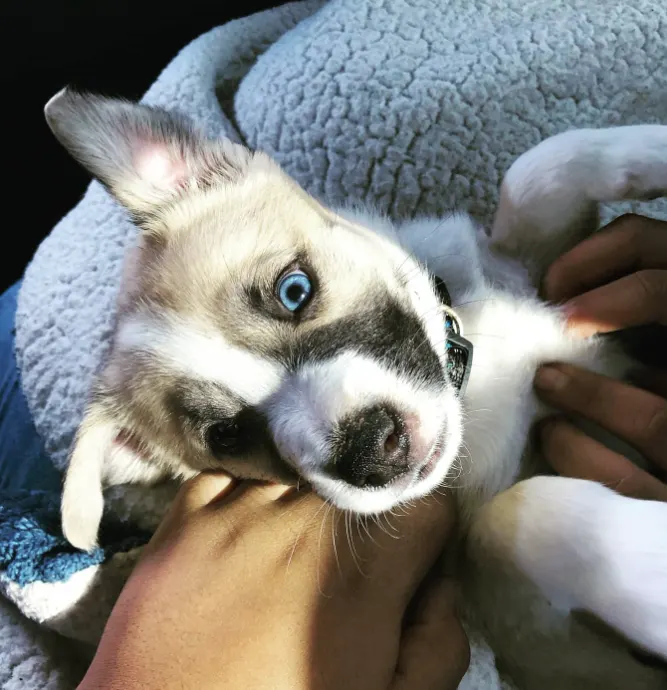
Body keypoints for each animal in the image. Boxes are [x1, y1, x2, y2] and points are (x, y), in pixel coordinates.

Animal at [44, 88, 664, 684]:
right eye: (227, 435)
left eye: (293, 290)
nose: (374, 453)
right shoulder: (541, 636)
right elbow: (522, 510)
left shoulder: (537, 267)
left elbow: (536, 169)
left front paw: (653, 147)